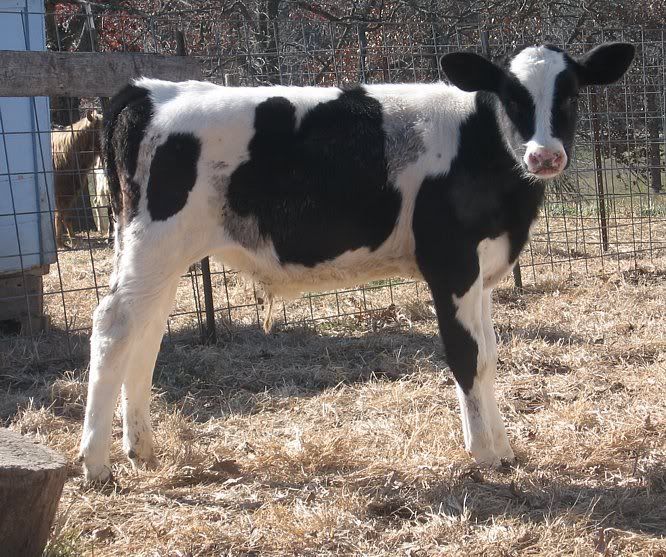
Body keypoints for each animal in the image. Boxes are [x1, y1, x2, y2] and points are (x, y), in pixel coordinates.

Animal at [52, 111, 103, 248]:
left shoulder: (70, 189)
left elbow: (66, 215)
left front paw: (73, 239)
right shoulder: (60, 191)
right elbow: (59, 214)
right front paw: (60, 244)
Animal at [79, 43, 634, 483]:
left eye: (571, 95)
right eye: (512, 97)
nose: (545, 156)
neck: (482, 150)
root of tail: (151, 90)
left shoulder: (484, 271)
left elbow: (489, 355)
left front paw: (503, 447)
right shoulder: (450, 264)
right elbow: (465, 355)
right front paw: (484, 454)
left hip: (158, 255)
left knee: (146, 332)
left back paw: (142, 449)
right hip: (154, 243)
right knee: (113, 327)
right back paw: (95, 463)